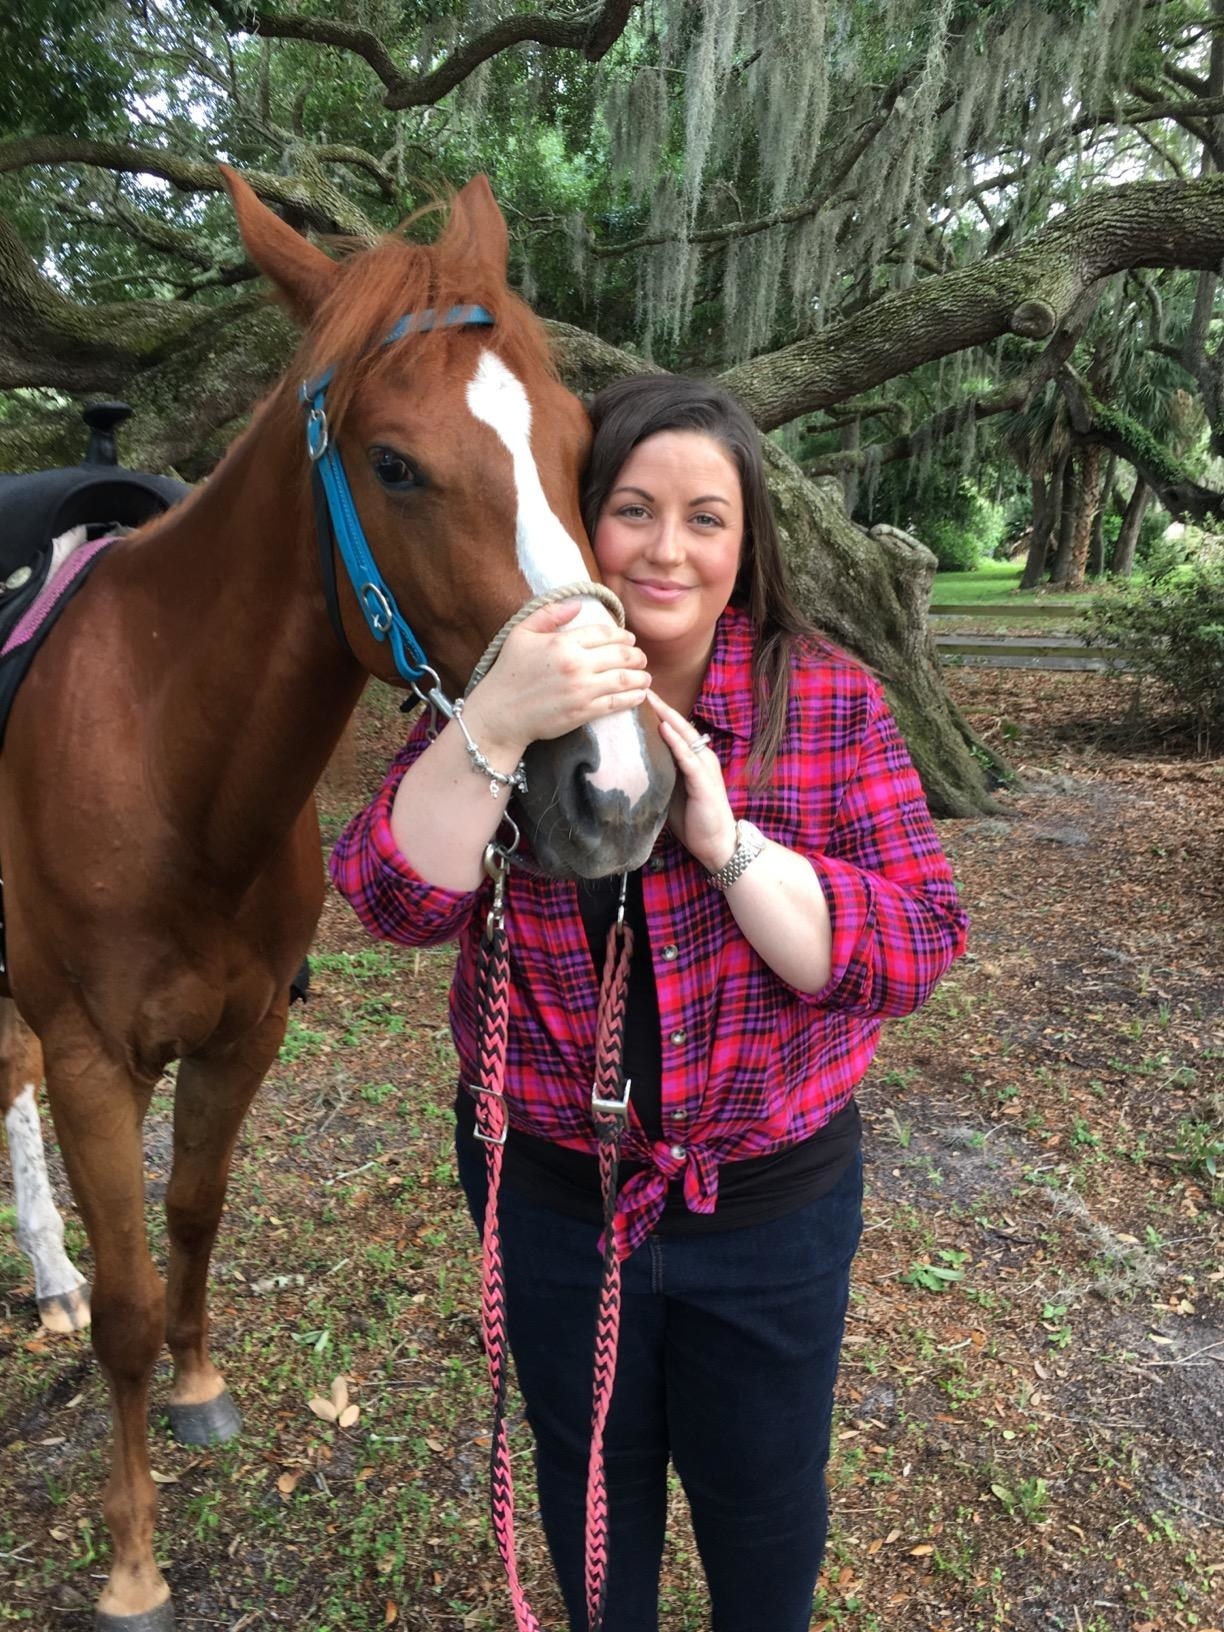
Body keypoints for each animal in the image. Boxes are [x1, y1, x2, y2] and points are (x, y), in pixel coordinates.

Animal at [0, 168, 672, 1632]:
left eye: (577, 442)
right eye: (398, 466)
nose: (621, 789)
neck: (169, 762)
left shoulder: (245, 1033)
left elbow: (194, 1218)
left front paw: (198, 1386)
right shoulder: (91, 1060)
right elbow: (133, 1299)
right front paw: (132, 1561)